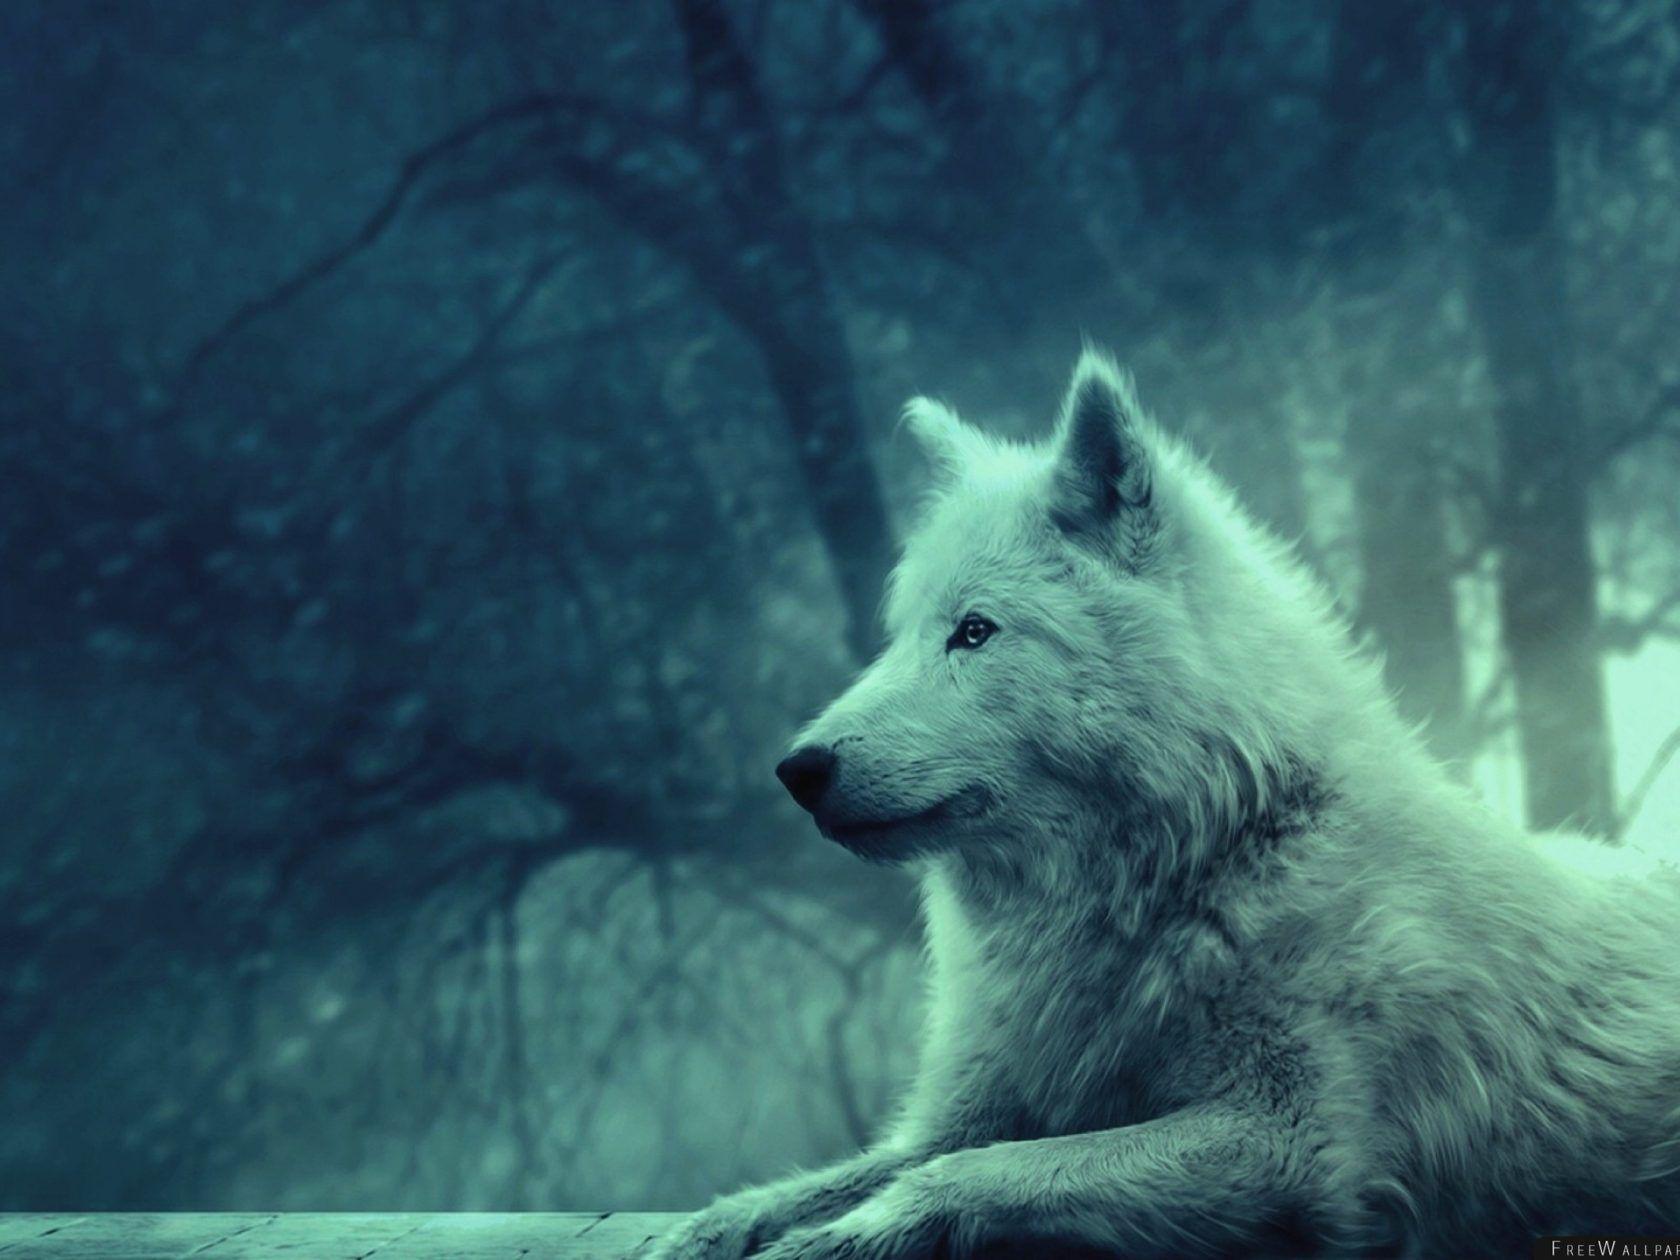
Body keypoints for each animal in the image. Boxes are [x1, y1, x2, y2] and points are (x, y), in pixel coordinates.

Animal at [649, 352, 1680, 1259]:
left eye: (974, 631)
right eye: (899, 637)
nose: (797, 769)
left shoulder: (1291, 1144)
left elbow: (981, 1172)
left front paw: (849, 1236)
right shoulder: (968, 1109)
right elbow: (837, 1177)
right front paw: (709, 1230)